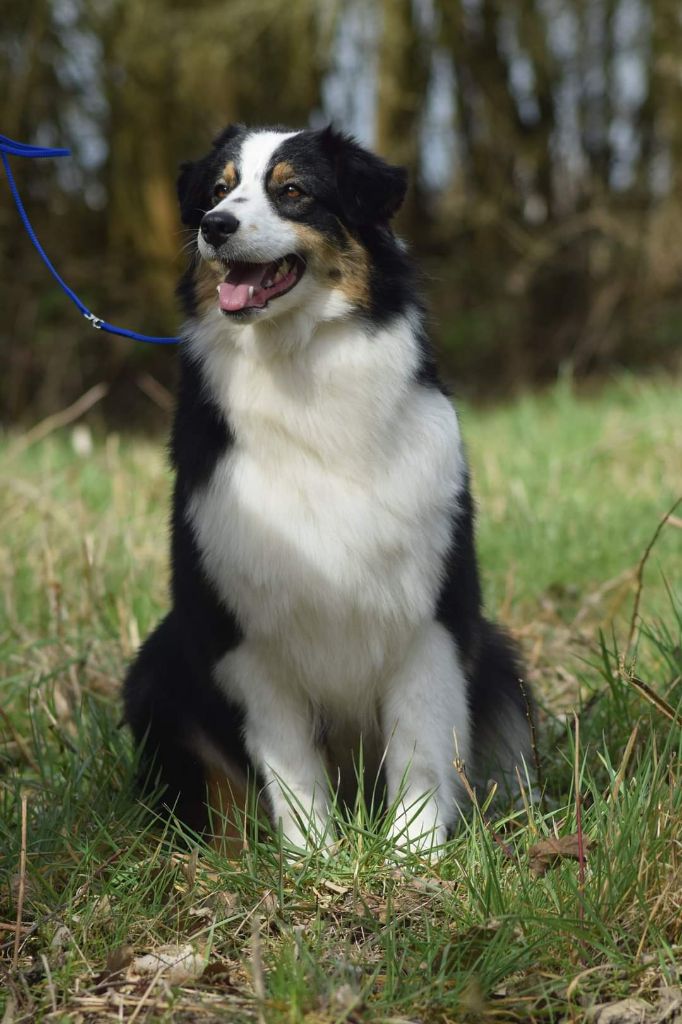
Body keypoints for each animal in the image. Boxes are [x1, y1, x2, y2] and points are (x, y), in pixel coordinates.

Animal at [123, 123, 532, 854]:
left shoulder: (432, 612)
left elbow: (422, 745)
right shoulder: (244, 631)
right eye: (218, 189)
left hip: (501, 660)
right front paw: (313, 859)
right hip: (155, 667)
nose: (214, 226)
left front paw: (412, 856)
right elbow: (289, 765)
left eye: (292, 192)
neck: (299, 367)